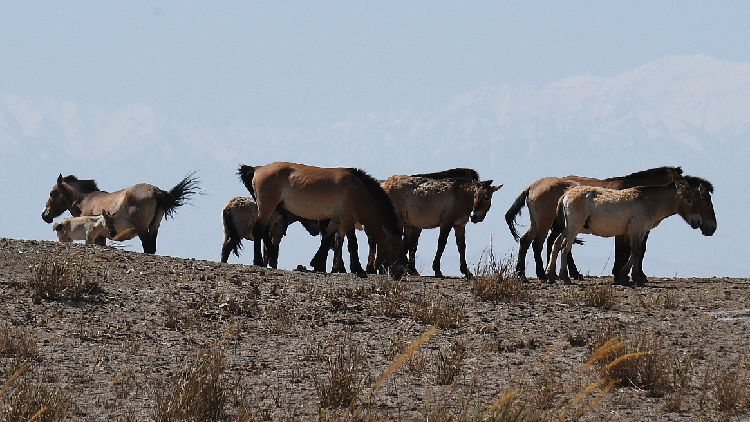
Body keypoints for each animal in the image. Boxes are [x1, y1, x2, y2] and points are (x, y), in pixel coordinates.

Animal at [43, 173, 199, 253]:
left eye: (51, 193)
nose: (45, 215)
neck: (86, 199)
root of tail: (155, 190)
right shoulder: (101, 237)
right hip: (154, 227)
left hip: (142, 228)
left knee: (147, 247)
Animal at [237, 162, 407, 279]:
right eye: (395, 248)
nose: (400, 271)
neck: (359, 191)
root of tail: (258, 169)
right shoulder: (347, 219)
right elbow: (352, 244)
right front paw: (357, 268)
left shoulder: (336, 220)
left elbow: (326, 240)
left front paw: (316, 263)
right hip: (267, 207)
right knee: (258, 230)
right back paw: (259, 261)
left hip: (276, 210)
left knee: (265, 231)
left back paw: (271, 255)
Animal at [505, 166, 686, 281]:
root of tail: (532, 186)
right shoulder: (626, 231)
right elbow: (626, 251)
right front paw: (621, 273)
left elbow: (639, 250)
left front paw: (635, 274)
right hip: (546, 222)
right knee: (539, 243)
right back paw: (544, 274)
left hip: (540, 223)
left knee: (528, 240)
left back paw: (524, 273)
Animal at [545, 171, 702, 285]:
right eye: (689, 200)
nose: (698, 222)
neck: (647, 201)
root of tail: (565, 194)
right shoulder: (634, 230)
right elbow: (635, 252)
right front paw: (624, 276)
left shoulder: (641, 231)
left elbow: (638, 253)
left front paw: (635, 277)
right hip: (574, 227)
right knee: (565, 247)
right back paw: (565, 277)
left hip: (566, 228)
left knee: (556, 244)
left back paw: (551, 275)